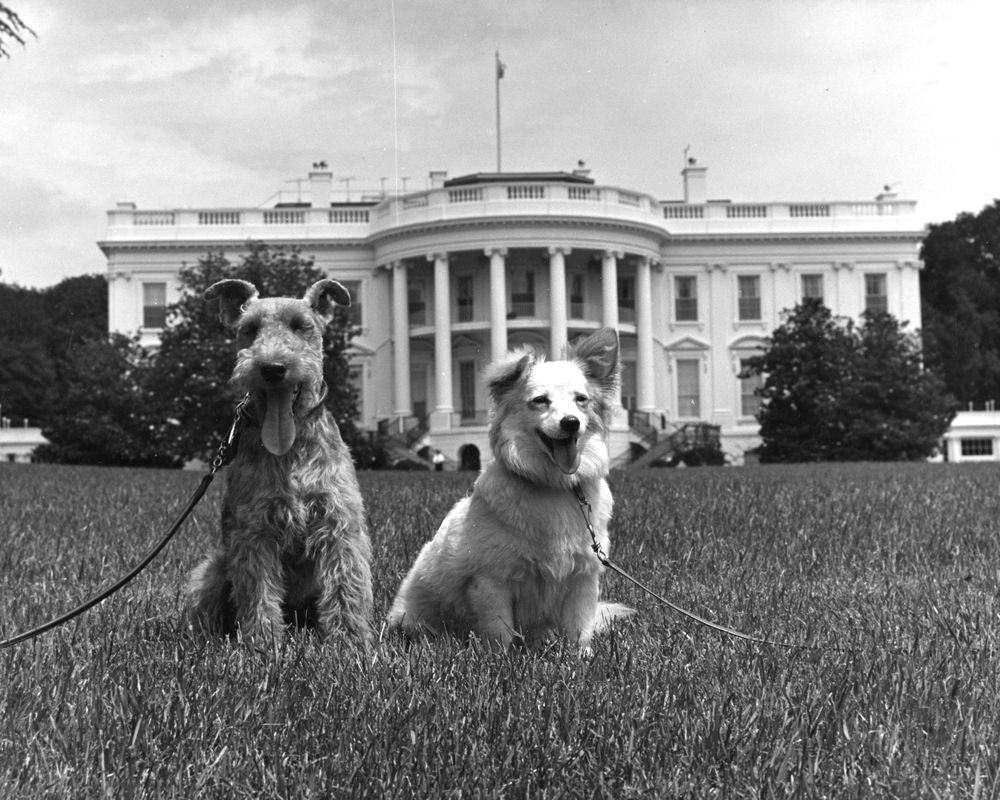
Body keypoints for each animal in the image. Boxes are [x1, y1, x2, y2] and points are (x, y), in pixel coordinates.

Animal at [386, 328, 628, 652]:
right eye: (540, 401)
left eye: (581, 400)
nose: (571, 423)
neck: (555, 485)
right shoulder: (490, 581)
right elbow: (500, 630)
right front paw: (501, 657)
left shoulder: (583, 577)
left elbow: (579, 626)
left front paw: (581, 656)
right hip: (411, 617)